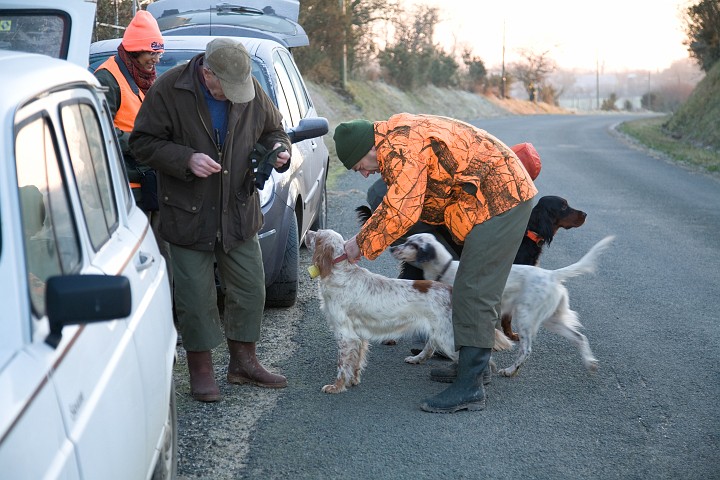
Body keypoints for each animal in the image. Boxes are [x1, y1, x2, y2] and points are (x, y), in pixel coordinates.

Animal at [304, 229, 512, 394]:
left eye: (317, 234)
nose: (307, 232)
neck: (341, 273)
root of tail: (451, 290)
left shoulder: (345, 334)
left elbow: (342, 366)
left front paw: (336, 386)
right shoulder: (358, 335)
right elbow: (356, 362)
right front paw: (354, 380)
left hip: (447, 338)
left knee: (483, 359)